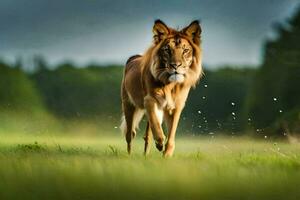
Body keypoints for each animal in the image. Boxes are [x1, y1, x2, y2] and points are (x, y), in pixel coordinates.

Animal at [120, 19, 203, 157]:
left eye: (185, 50)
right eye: (167, 50)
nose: (176, 65)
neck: (171, 85)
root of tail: (134, 57)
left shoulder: (176, 107)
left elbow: (171, 136)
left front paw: (166, 155)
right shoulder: (149, 100)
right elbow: (156, 126)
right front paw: (159, 143)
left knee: (146, 136)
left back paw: (146, 154)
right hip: (128, 105)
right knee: (130, 134)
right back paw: (129, 155)